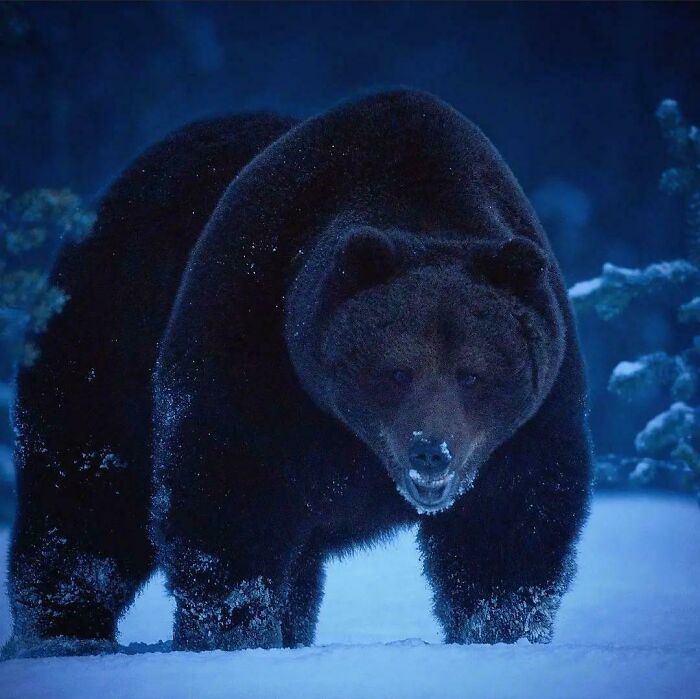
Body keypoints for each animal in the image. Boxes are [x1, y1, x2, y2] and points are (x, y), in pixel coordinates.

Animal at [4, 89, 591, 658]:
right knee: (89, 495)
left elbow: (510, 530)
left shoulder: (531, 416)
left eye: (472, 373)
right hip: (110, 328)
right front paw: (231, 634)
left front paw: (500, 634)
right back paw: (66, 633)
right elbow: (226, 498)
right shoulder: (253, 339)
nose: (431, 449)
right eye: (397, 371)